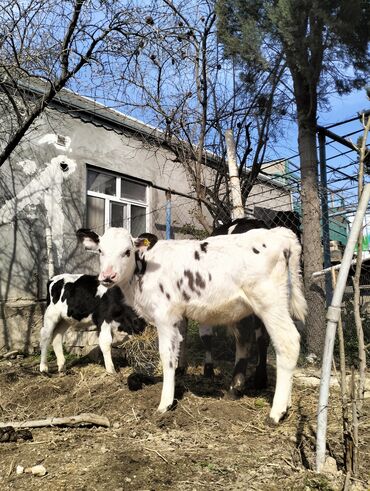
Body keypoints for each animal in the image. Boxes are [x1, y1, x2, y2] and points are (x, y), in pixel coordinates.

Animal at [77, 227, 306, 422]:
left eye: (127, 251)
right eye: (100, 250)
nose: (107, 276)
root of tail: (279, 234)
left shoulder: (165, 316)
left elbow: (166, 355)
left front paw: (165, 402)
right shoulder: (178, 317)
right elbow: (179, 345)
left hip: (270, 303)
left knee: (287, 342)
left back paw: (276, 412)